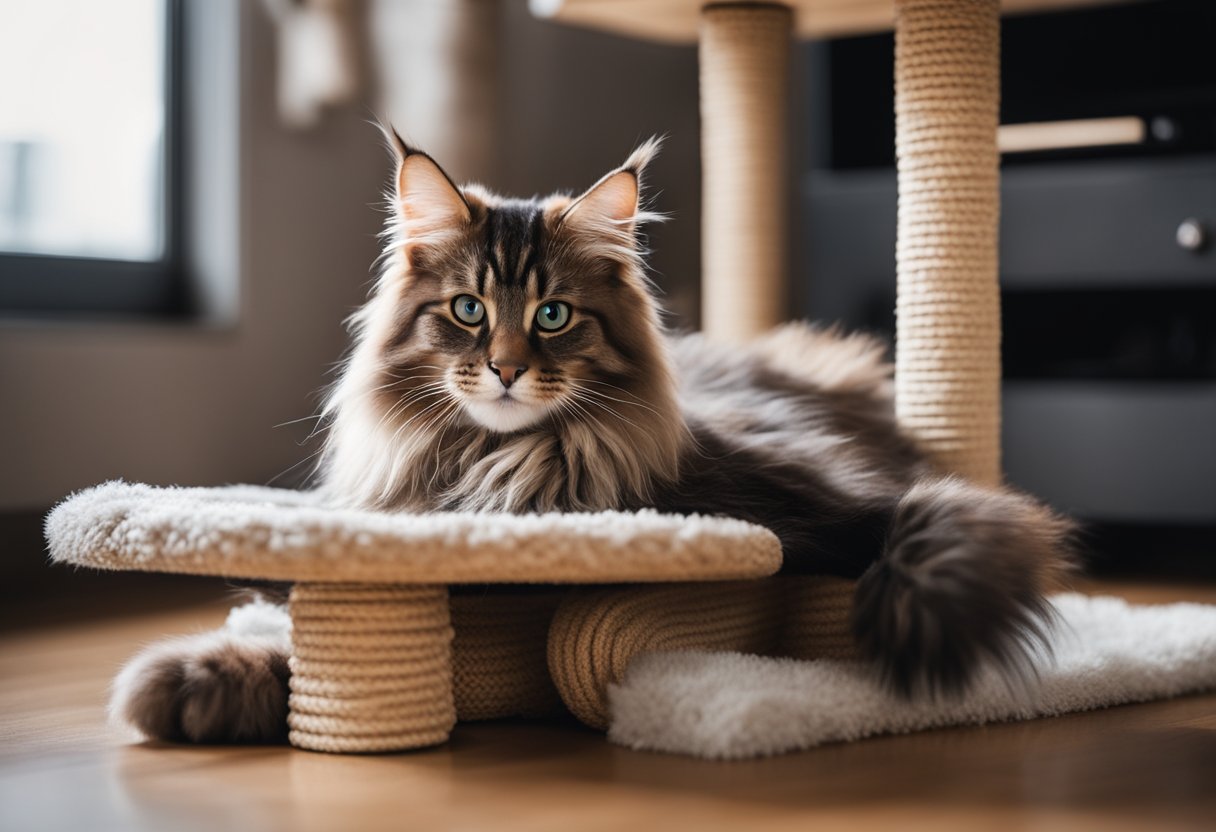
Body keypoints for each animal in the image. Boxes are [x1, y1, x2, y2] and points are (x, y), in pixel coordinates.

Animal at [109, 133, 1070, 744]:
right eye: (468, 310)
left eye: (553, 315)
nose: (503, 368)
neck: (504, 468)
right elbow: (299, 643)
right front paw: (188, 682)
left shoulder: (827, 511)